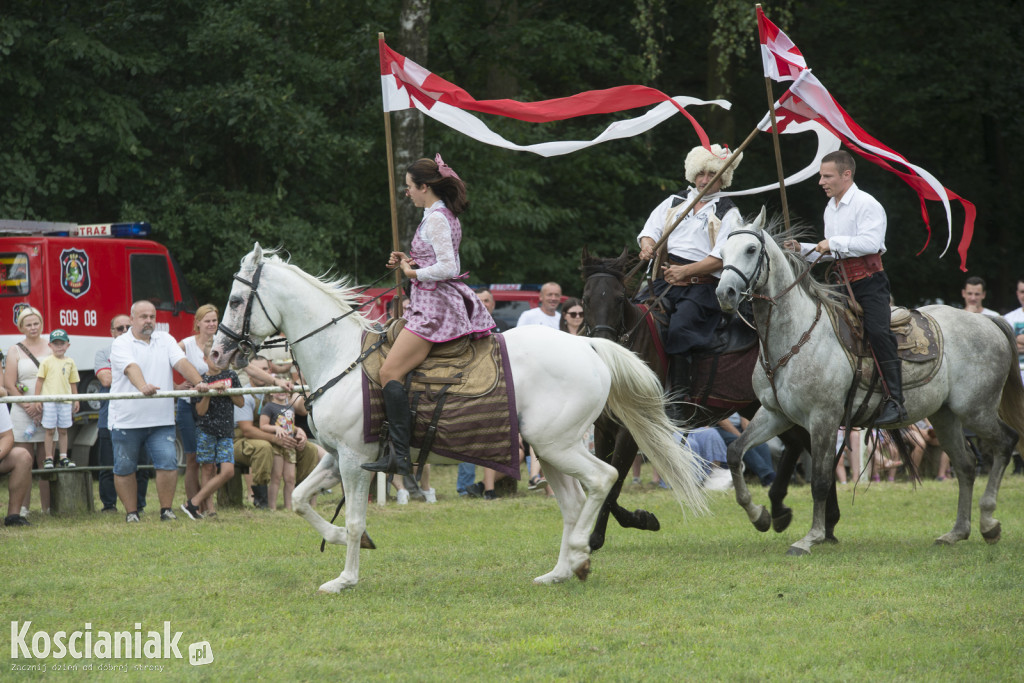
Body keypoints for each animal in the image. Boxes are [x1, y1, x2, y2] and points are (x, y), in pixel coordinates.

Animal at [207, 245, 704, 593]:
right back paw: (561, 571)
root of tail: (588, 345)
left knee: (603, 480)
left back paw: (582, 553)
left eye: (235, 299)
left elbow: (353, 520)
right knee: (573, 503)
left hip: (558, 445)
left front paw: (345, 578)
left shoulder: (353, 458)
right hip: (548, 449)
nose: (216, 354)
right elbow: (299, 500)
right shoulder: (336, 457)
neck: (341, 355)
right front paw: (344, 541)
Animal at [581, 248, 835, 552]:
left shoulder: (631, 432)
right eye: (585, 298)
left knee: (812, 447)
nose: (601, 345)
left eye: (619, 299)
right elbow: (603, 480)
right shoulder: (603, 429)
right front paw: (640, 519)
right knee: (798, 443)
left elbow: (614, 481)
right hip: (767, 409)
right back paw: (780, 511)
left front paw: (605, 534)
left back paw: (824, 523)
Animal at [712, 210, 1024, 557]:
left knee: (1006, 442)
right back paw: (957, 532)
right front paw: (760, 516)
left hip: (976, 410)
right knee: (966, 466)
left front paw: (811, 537)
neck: (794, 336)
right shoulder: (774, 414)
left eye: (751, 249)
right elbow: (735, 452)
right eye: (722, 253)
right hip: (945, 415)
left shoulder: (823, 419)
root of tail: (988, 320)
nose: (724, 294)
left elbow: (820, 481)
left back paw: (988, 522)